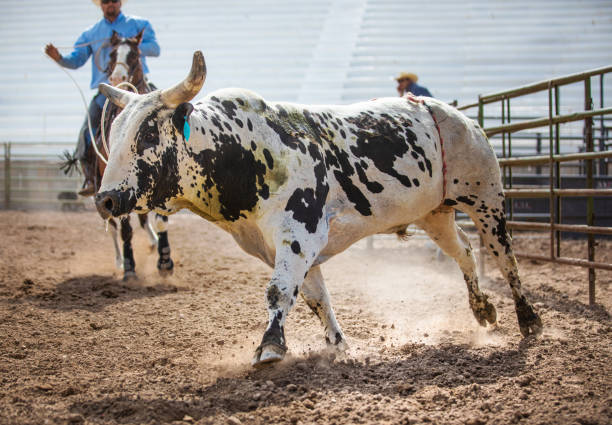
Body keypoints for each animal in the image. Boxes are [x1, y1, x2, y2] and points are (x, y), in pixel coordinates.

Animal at [94, 30, 175, 282]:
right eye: (111, 54)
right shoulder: (113, 187)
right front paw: (129, 267)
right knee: (114, 227)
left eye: (133, 55)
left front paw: (165, 261)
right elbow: (125, 227)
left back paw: (153, 243)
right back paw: (121, 262)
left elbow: (160, 221)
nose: (117, 77)